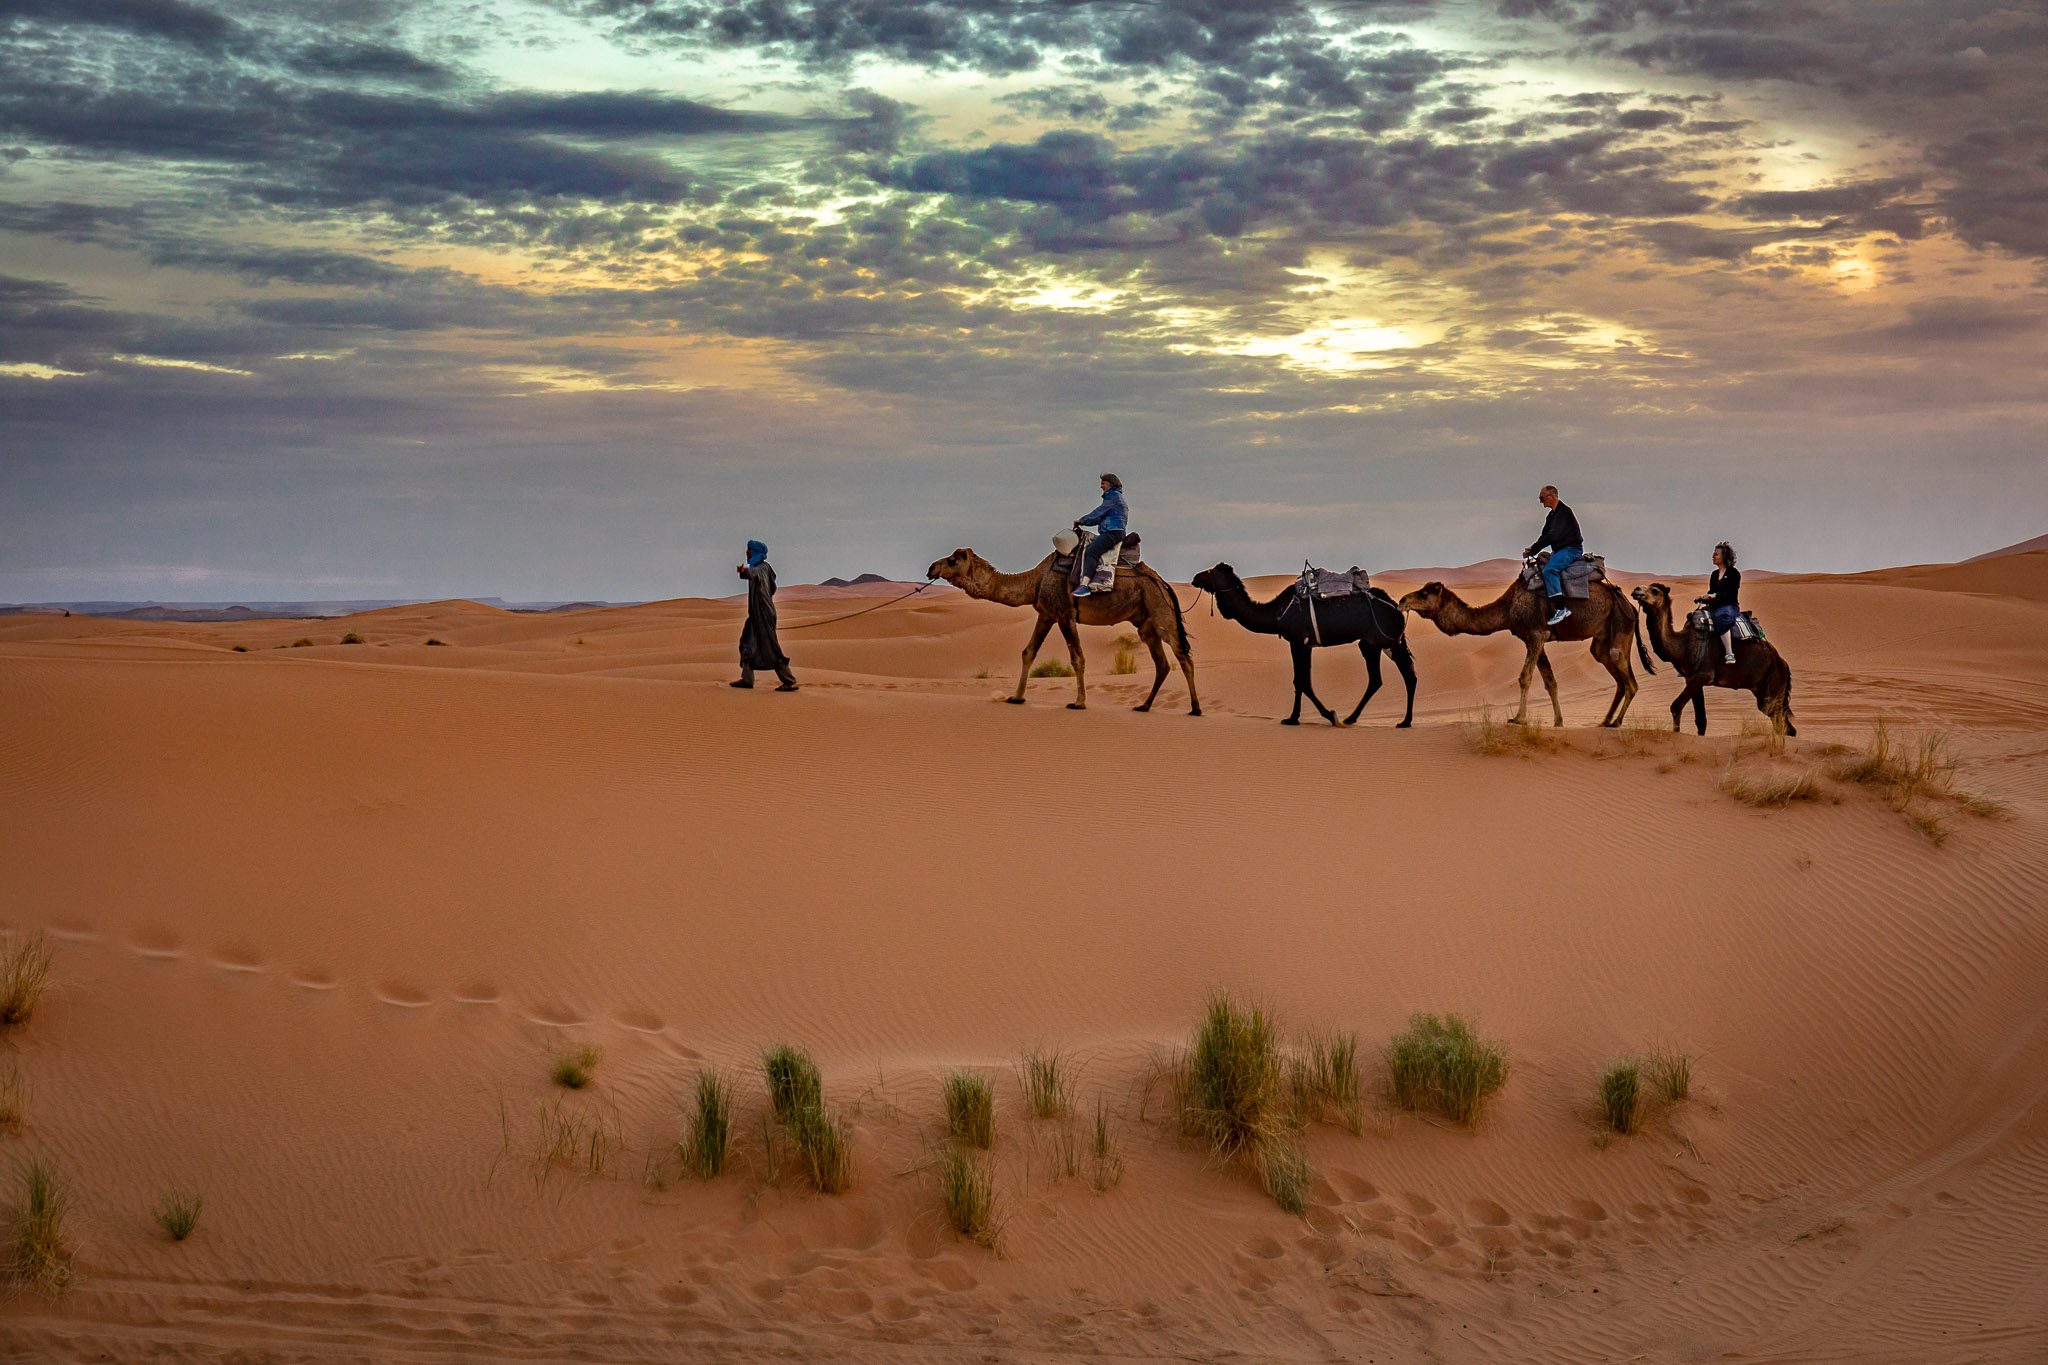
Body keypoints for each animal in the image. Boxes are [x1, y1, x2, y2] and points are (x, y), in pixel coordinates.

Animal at [929, 548, 1196, 716]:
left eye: (952, 560)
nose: (931, 567)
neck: (1035, 580)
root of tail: (1162, 582)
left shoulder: (1065, 614)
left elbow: (1077, 658)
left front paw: (1078, 702)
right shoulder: (1047, 614)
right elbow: (1028, 652)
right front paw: (1017, 697)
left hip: (1160, 609)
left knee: (1182, 655)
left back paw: (1195, 708)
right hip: (1145, 622)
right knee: (1162, 663)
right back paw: (1144, 706)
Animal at [1196, 564, 1417, 732]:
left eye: (1211, 572)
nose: (1195, 578)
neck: (1277, 614)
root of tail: (1395, 606)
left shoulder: (1297, 642)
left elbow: (1301, 681)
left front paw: (1313, 716)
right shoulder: (1306, 644)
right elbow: (1304, 681)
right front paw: (1303, 717)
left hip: (1389, 640)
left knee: (1408, 675)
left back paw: (1404, 722)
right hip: (1371, 643)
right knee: (1376, 679)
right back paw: (1351, 718)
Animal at [1400, 573, 1654, 724]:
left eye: (1424, 593)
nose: (1402, 600)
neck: (1508, 607)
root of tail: (1632, 605)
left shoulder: (1536, 634)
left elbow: (1525, 677)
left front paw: (1518, 718)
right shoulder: (1533, 638)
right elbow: (1550, 681)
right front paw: (1558, 722)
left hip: (1621, 624)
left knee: (1628, 678)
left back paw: (1617, 723)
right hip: (1602, 638)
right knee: (1614, 673)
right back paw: (1604, 721)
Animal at [1630, 585, 1794, 740]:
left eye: (1655, 590)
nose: (1636, 590)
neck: (1682, 644)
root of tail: (1783, 663)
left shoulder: (1703, 675)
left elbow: (1676, 706)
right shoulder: (1691, 679)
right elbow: (1701, 720)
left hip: (1773, 683)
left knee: (1778, 718)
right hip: (1765, 691)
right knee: (1781, 721)